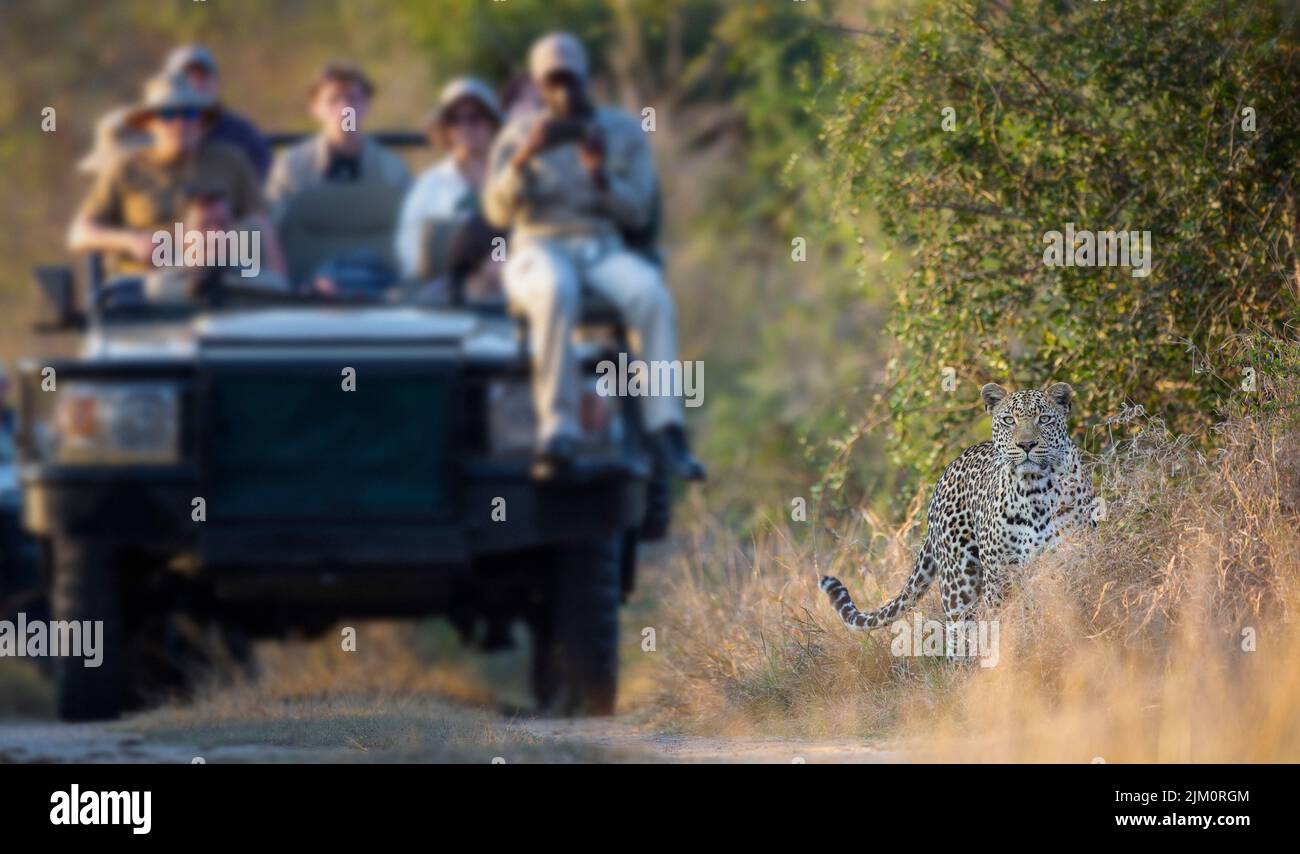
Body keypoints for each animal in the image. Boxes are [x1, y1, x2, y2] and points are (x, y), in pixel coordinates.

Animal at [821, 379, 1097, 647]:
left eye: (1045, 419)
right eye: (1009, 420)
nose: (1026, 444)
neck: (1034, 490)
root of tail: (947, 471)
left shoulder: (1070, 560)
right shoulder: (998, 577)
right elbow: (1004, 624)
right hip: (958, 583)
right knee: (958, 636)